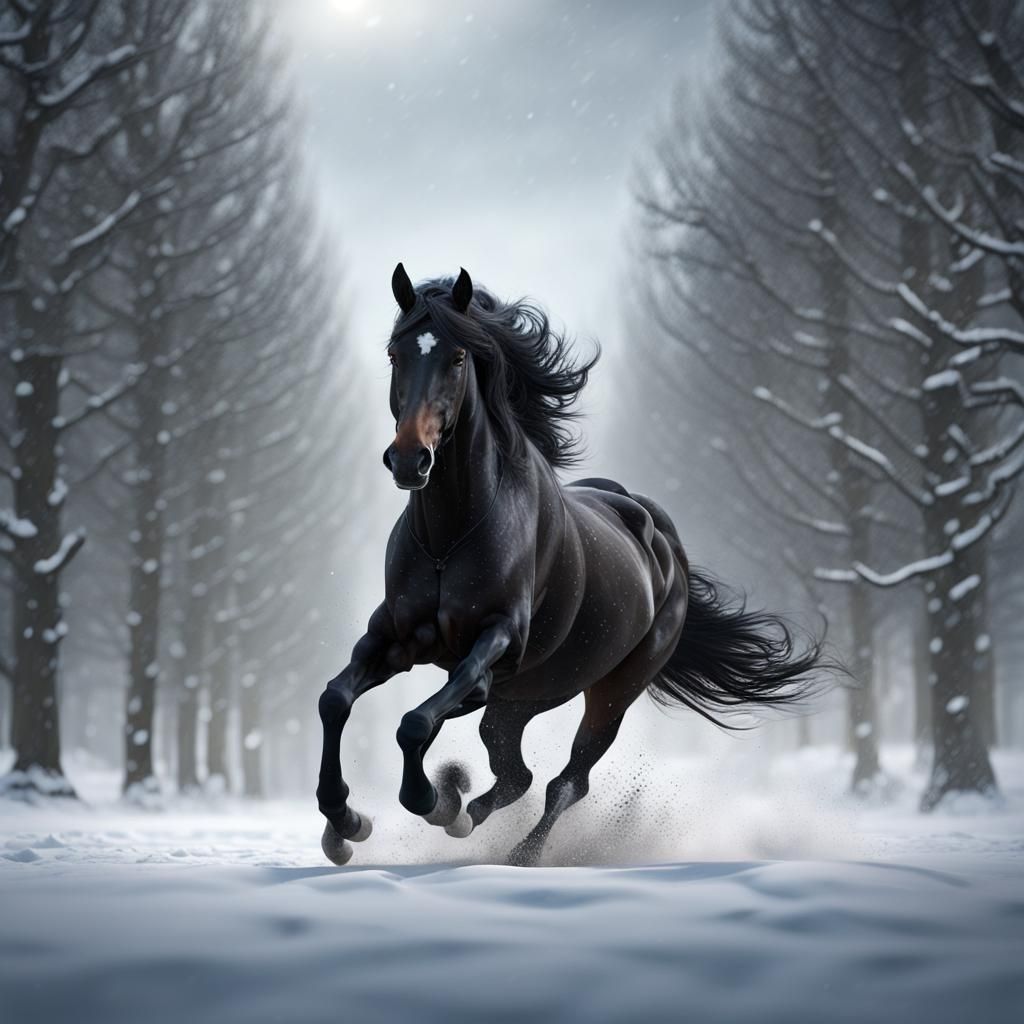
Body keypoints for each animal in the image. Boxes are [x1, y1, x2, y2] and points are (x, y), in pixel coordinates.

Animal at [316, 263, 827, 867]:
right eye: (396, 354)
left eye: (458, 357)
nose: (409, 460)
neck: (450, 535)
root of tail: (662, 541)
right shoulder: (394, 641)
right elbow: (335, 700)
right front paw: (344, 822)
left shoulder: (493, 649)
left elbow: (417, 722)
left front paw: (430, 799)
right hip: (527, 698)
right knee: (516, 774)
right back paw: (468, 811)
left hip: (610, 694)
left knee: (566, 782)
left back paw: (514, 849)